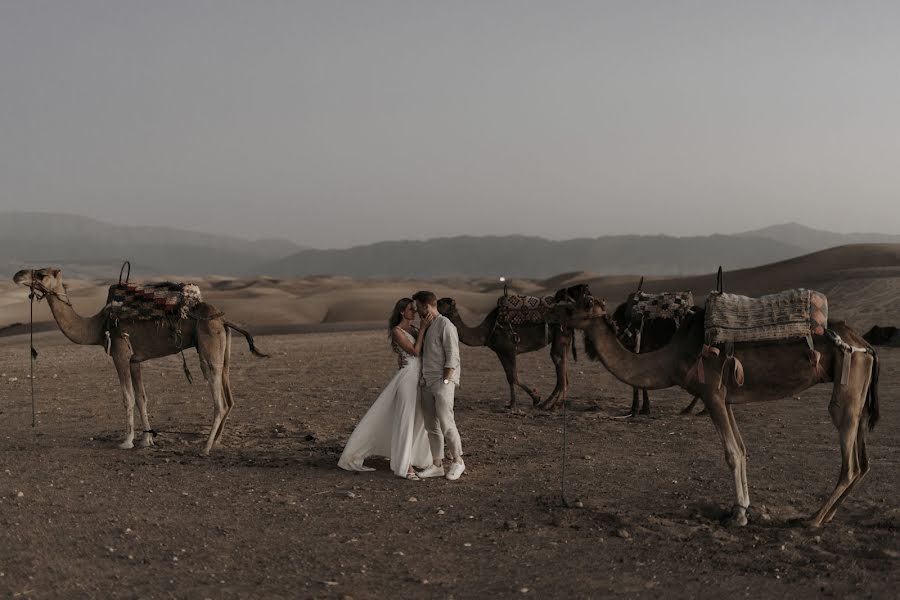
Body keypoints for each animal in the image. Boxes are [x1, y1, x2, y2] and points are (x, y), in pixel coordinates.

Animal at [12, 268, 266, 454]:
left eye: (41, 274)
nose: (18, 275)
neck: (97, 325)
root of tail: (222, 319)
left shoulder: (120, 355)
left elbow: (128, 398)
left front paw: (127, 441)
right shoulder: (135, 360)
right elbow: (142, 398)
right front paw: (147, 440)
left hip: (209, 348)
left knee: (218, 398)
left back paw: (205, 447)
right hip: (224, 350)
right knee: (229, 394)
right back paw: (218, 441)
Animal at [556, 292, 880, 528]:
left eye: (576, 307)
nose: (555, 313)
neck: (672, 357)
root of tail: (866, 345)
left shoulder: (711, 394)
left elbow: (732, 453)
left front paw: (739, 517)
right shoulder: (726, 399)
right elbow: (743, 449)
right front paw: (741, 507)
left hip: (849, 379)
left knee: (849, 459)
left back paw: (813, 519)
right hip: (859, 390)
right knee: (863, 461)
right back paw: (828, 514)